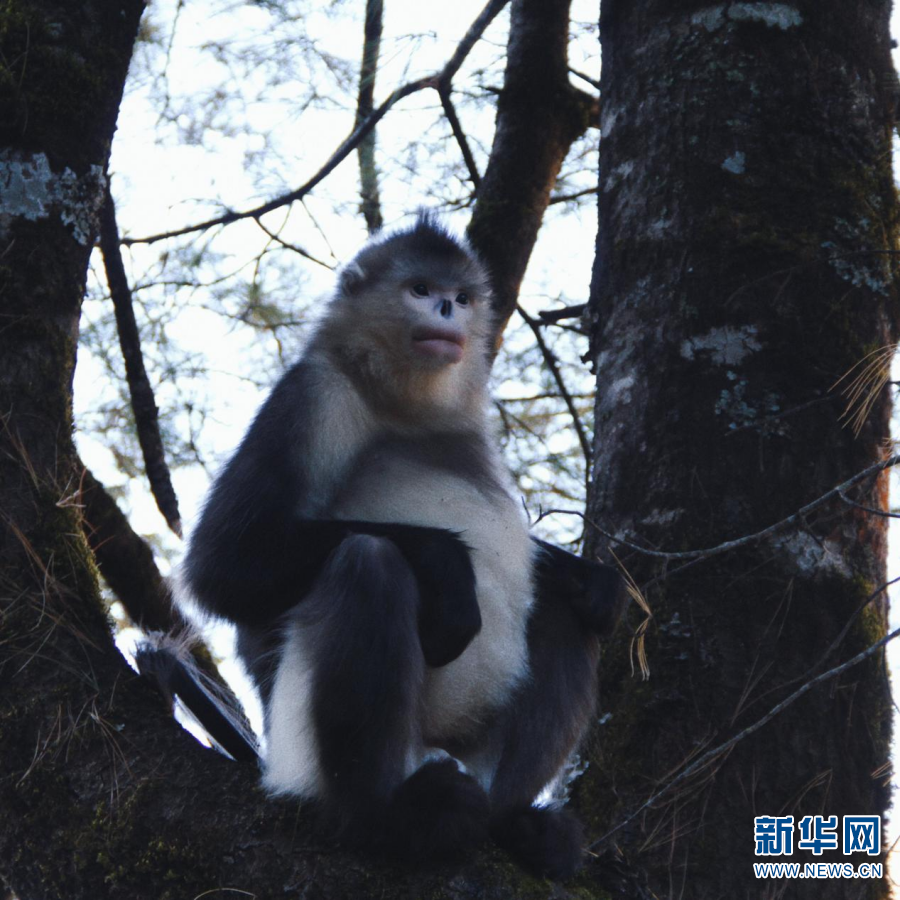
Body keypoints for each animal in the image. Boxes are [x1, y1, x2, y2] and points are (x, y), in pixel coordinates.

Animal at [175, 213, 627, 879]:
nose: (444, 308)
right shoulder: (315, 395)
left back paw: (510, 824)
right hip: (301, 754)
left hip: (469, 745)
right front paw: (448, 565)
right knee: (371, 561)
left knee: (566, 615)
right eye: (420, 289)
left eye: (461, 298)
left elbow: (561, 581)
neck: (407, 411)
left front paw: (586, 575)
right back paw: (387, 818)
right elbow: (222, 566)